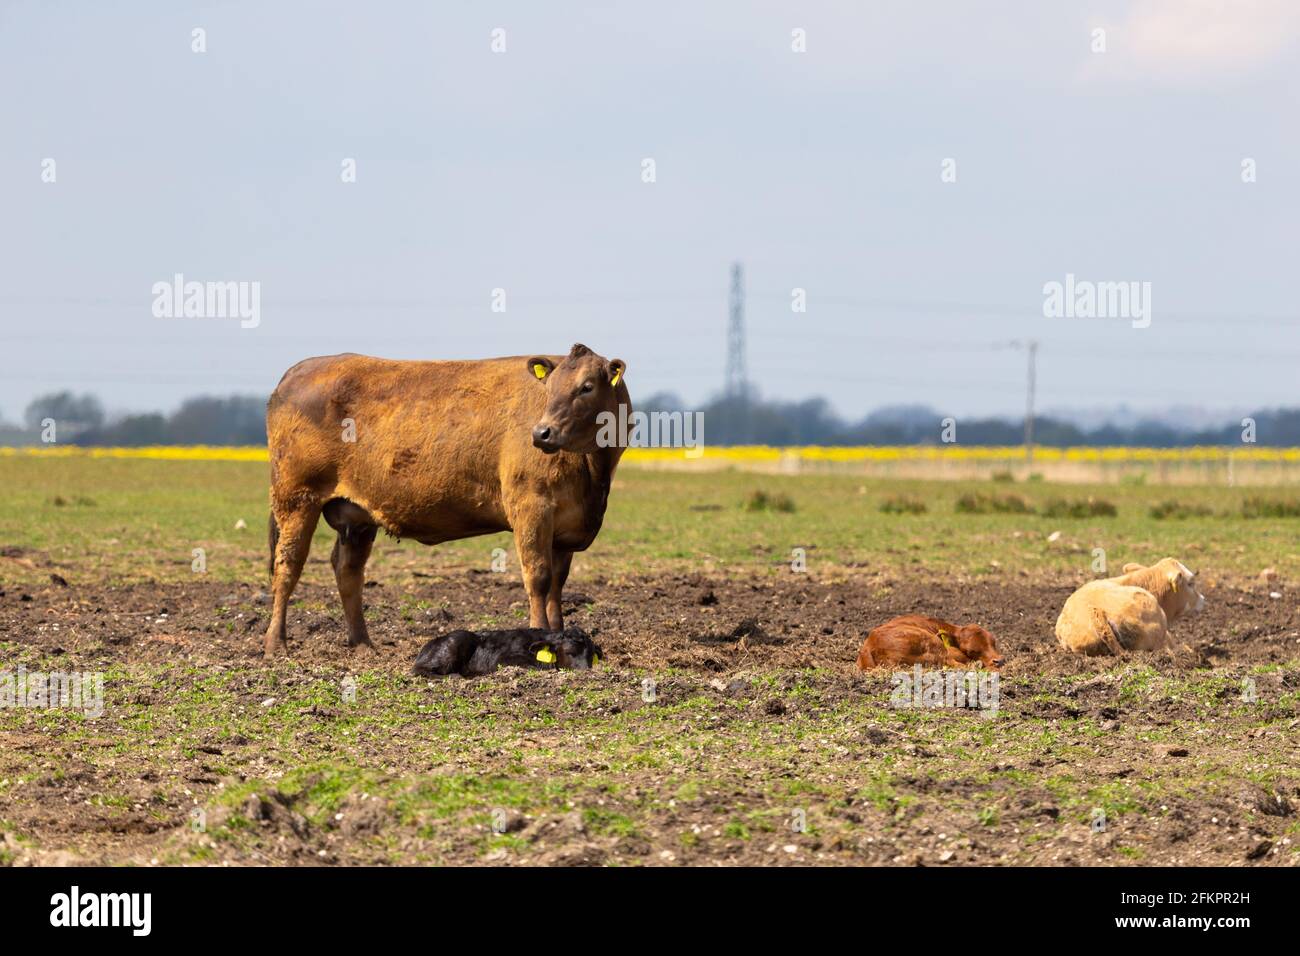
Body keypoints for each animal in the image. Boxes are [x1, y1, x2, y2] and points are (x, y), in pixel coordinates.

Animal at [262, 343, 629, 657]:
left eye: (586, 387)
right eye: (549, 389)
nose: (542, 433)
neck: (593, 473)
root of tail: (299, 370)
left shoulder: (567, 526)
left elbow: (557, 585)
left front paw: (561, 638)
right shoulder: (531, 507)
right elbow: (538, 577)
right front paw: (540, 640)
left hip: (356, 514)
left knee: (348, 570)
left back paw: (363, 644)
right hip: (296, 497)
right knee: (287, 565)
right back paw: (276, 644)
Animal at [412, 626, 603, 677]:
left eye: (591, 656)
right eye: (569, 652)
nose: (586, 671)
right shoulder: (504, 659)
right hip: (455, 641)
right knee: (419, 670)